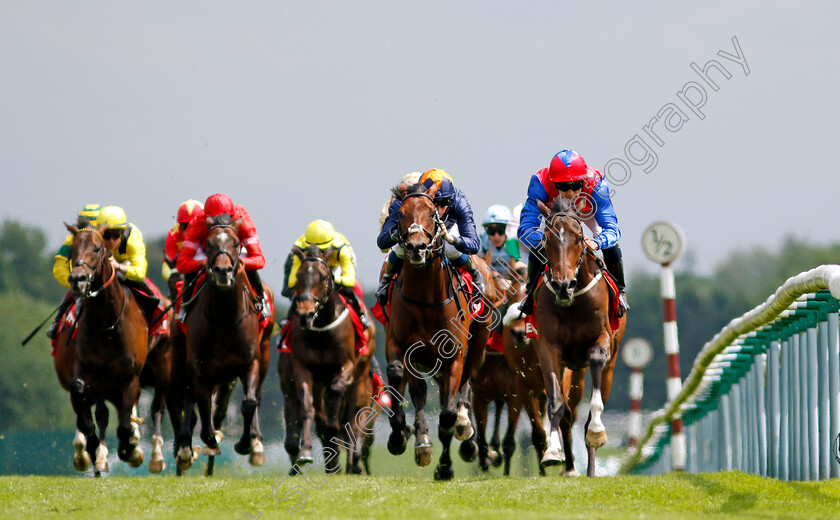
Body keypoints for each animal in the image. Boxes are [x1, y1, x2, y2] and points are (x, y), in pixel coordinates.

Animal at [64, 223, 148, 472]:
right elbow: (80, 393)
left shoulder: (130, 376)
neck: (107, 324)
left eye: (97, 248)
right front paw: (93, 448)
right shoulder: (89, 368)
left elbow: (124, 423)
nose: (78, 279)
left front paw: (128, 448)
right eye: (72, 249)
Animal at [174, 213, 272, 474]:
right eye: (208, 244)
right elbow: (204, 418)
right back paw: (186, 450)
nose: (222, 271)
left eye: (237, 243)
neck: (223, 319)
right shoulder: (200, 370)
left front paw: (246, 443)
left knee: (254, 397)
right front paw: (209, 443)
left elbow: (249, 403)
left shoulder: (249, 362)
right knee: (190, 400)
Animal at [280, 246, 376, 474]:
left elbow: (337, 396)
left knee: (353, 420)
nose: (305, 314)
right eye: (298, 275)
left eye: (323, 277)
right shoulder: (302, 369)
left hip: (360, 383)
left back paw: (352, 464)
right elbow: (307, 408)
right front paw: (305, 452)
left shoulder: (347, 367)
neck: (322, 330)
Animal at [386, 185, 496, 482]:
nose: (416, 247)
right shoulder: (401, 346)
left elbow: (447, 415)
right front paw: (402, 435)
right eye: (401, 214)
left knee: (466, 383)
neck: (426, 298)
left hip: (478, 342)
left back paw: (465, 430)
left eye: (432, 214)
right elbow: (401, 379)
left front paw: (445, 467)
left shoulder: (453, 358)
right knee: (421, 391)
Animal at [536, 201, 628, 478]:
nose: (563, 285)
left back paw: (591, 467)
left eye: (578, 238)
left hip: (608, 365)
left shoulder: (602, 340)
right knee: (569, 413)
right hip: (572, 368)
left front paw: (597, 431)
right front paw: (552, 452)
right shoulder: (548, 348)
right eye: (546, 239)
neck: (573, 303)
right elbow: (556, 405)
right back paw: (570, 468)